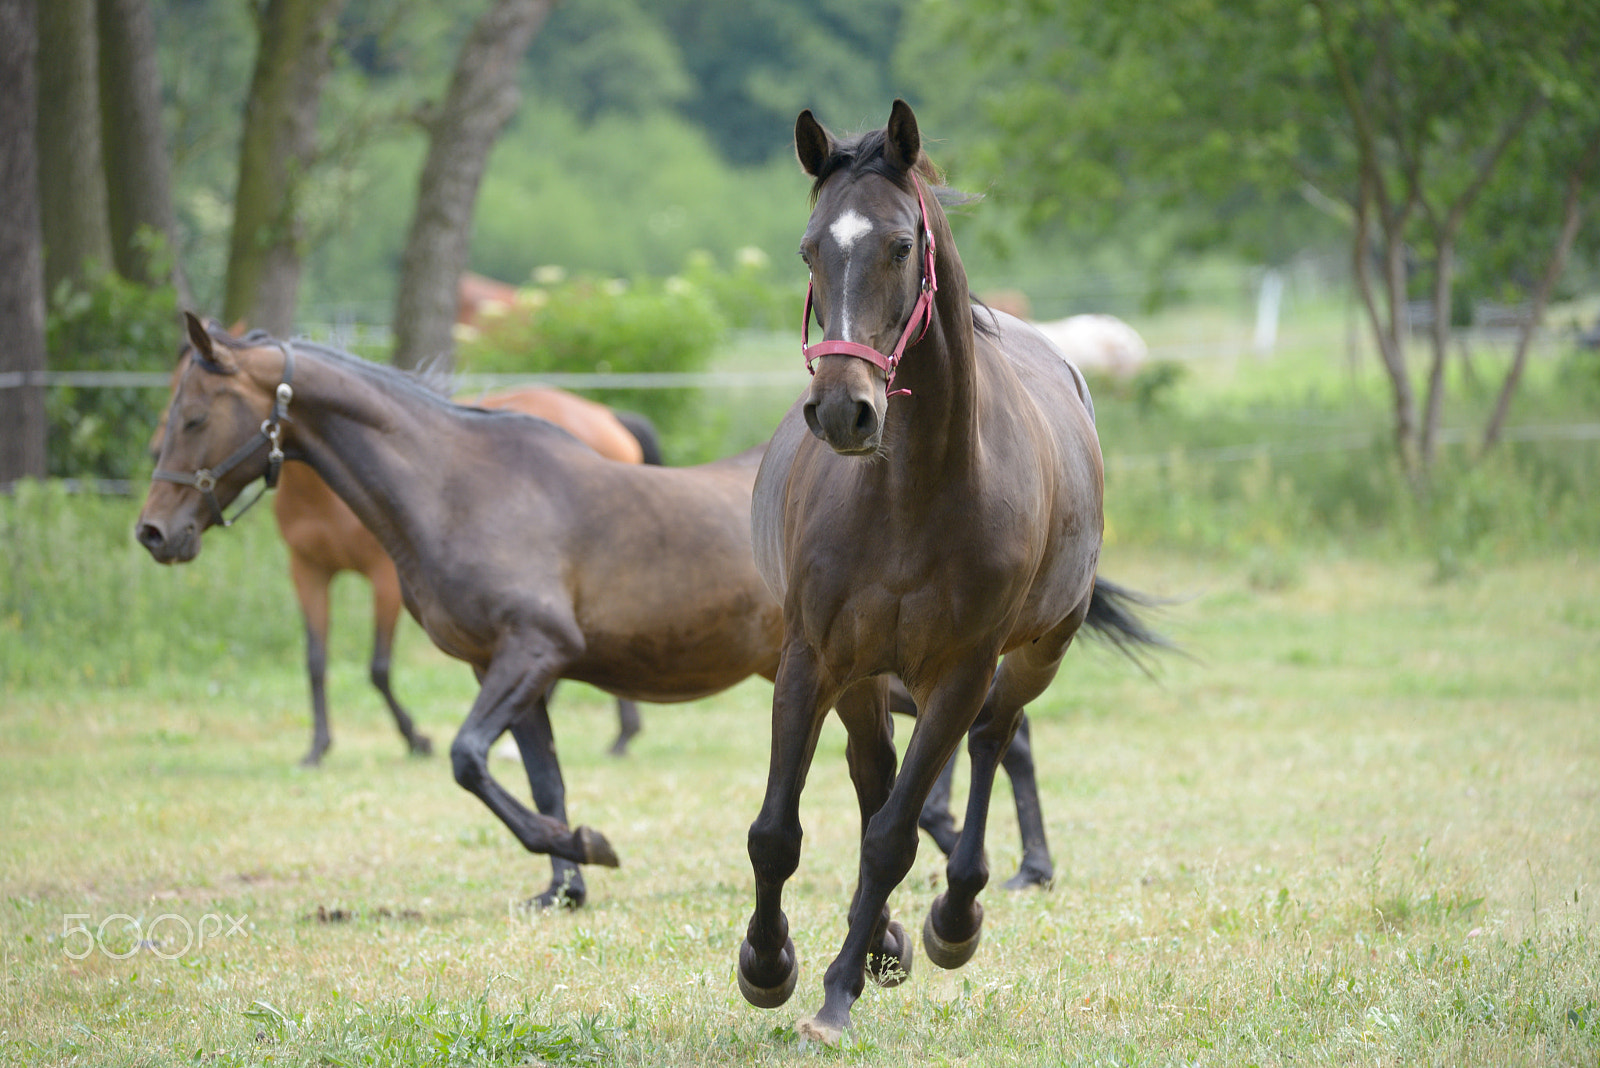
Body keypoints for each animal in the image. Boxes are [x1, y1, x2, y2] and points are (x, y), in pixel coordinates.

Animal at [148, 352, 662, 767]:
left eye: (194, 416)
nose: (153, 530)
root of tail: (606, 417)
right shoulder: (308, 571)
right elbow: (315, 659)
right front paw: (317, 747)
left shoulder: (385, 579)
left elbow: (378, 668)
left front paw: (416, 738)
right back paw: (617, 734)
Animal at [737, 100, 1161, 1044]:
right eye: (810, 248)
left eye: (901, 245)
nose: (844, 410)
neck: (909, 495)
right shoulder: (811, 658)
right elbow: (779, 831)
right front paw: (767, 963)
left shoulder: (960, 669)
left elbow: (895, 834)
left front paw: (835, 994)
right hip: (864, 677)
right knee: (874, 771)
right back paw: (888, 937)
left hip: (1033, 654)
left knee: (992, 743)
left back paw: (951, 915)